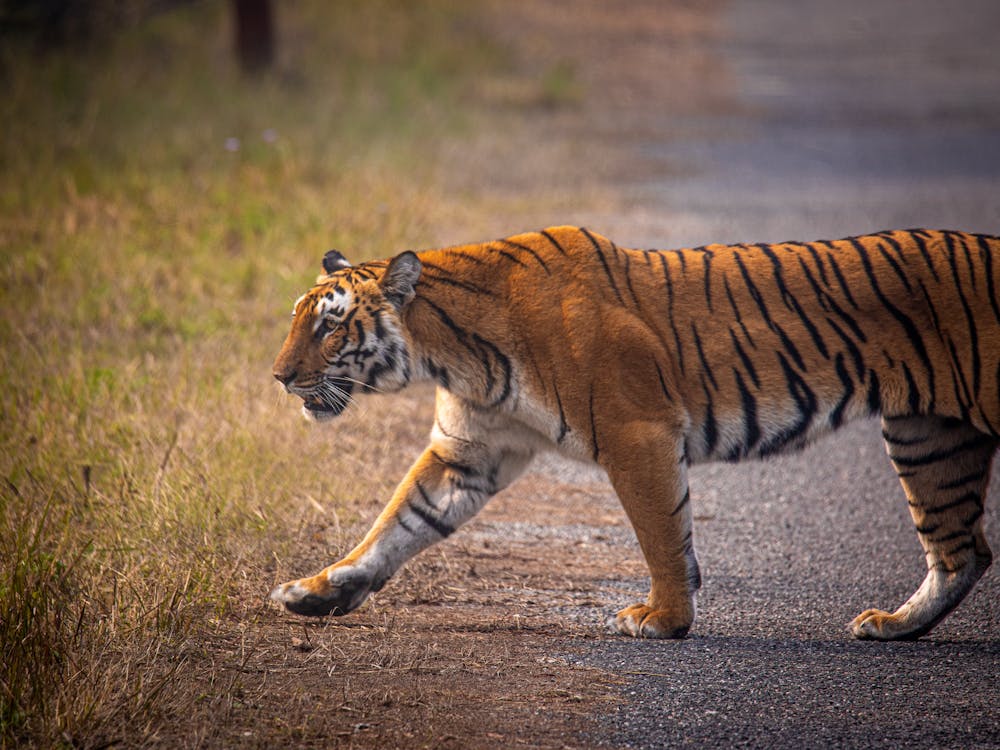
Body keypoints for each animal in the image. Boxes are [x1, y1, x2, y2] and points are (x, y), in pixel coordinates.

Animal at [268, 228, 1000, 640]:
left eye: (329, 326)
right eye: (299, 318)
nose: (278, 376)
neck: (451, 351)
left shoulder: (637, 433)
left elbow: (662, 536)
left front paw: (665, 620)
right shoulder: (468, 452)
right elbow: (395, 525)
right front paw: (319, 590)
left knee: (961, 547)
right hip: (930, 435)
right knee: (961, 549)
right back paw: (894, 627)